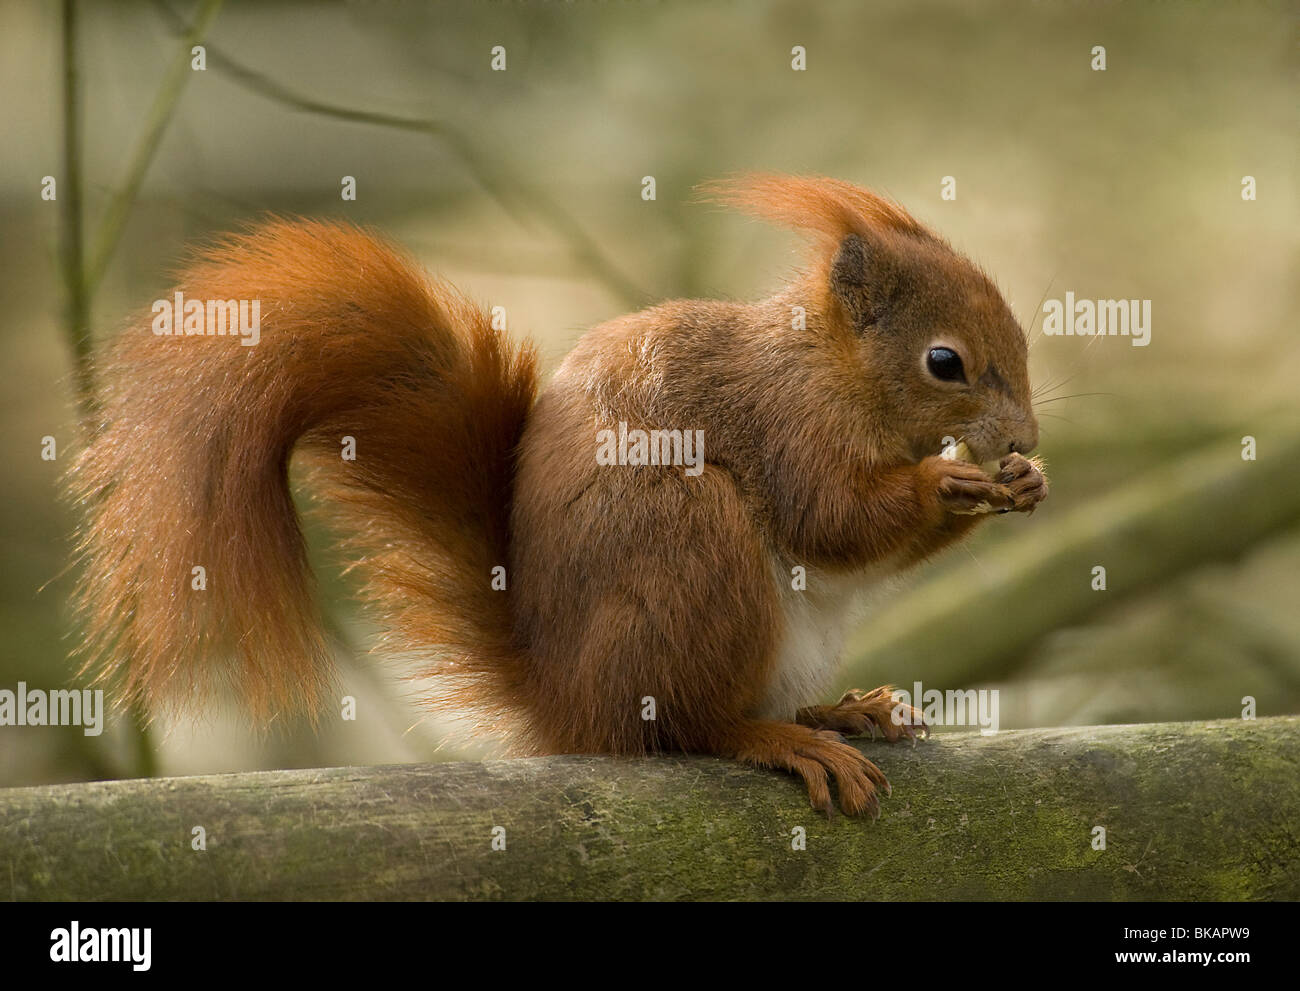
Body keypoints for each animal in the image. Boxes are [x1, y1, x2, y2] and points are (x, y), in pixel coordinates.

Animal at [68, 174, 1045, 816]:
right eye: (945, 361)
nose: (1025, 441)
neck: (830, 367)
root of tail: (567, 700)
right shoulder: (788, 424)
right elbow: (830, 519)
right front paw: (946, 478)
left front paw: (1019, 484)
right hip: (694, 553)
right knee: (683, 726)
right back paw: (777, 736)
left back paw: (845, 709)